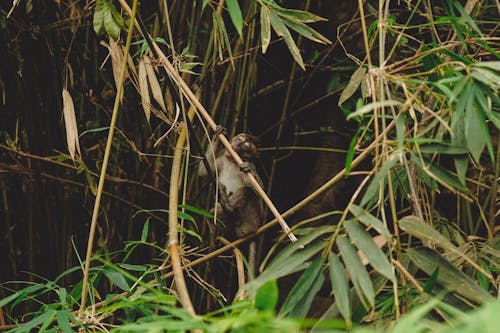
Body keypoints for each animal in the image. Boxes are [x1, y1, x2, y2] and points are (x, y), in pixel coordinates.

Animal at [197, 132, 266, 274]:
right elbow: (202, 172)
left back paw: (229, 208)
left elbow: (260, 192)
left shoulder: (247, 166)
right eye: (239, 139)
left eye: (244, 148)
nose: (234, 146)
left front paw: (249, 168)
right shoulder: (223, 159)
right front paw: (218, 135)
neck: (233, 161)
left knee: (248, 192)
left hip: (252, 220)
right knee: (214, 210)